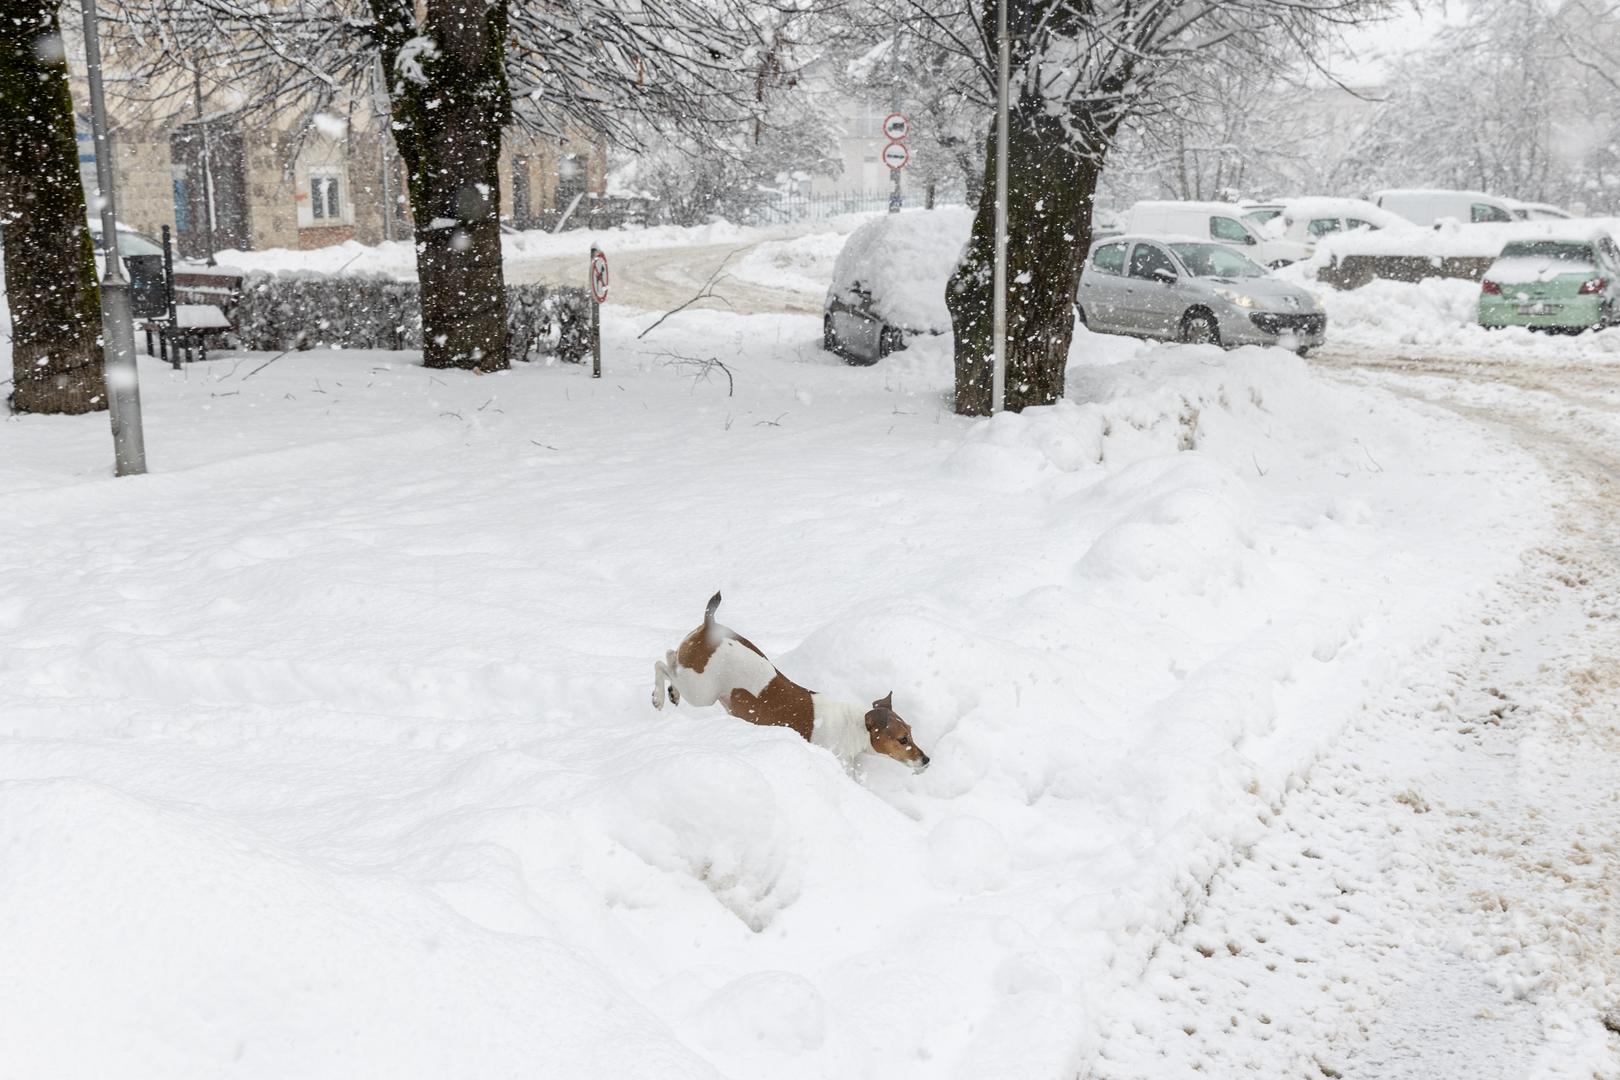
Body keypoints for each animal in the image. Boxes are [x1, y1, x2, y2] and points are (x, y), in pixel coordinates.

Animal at [641, 595, 926, 773]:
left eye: (911, 732)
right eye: (903, 739)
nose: (926, 759)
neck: (853, 726)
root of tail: (710, 626)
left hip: (696, 678)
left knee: (670, 656)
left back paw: (672, 692)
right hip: (702, 692)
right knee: (661, 663)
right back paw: (659, 696)